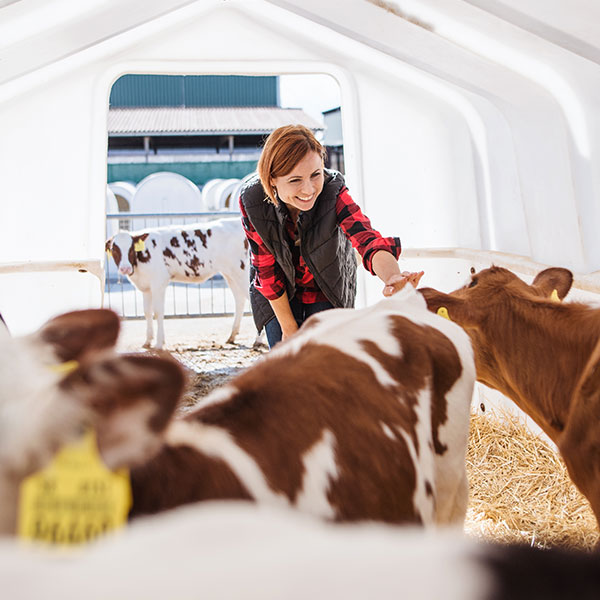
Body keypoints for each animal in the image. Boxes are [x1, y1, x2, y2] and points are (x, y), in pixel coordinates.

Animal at [104, 217, 252, 350]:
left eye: (131, 248)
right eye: (114, 249)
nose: (125, 268)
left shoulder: (159, 283)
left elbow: (158, 312)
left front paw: (159, 344)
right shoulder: (146, 287)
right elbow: (147, 312)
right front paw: (147, 341)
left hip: (242, 272)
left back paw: (255, 342)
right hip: (230, 274)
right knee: (240, 300)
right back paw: (232, 336)